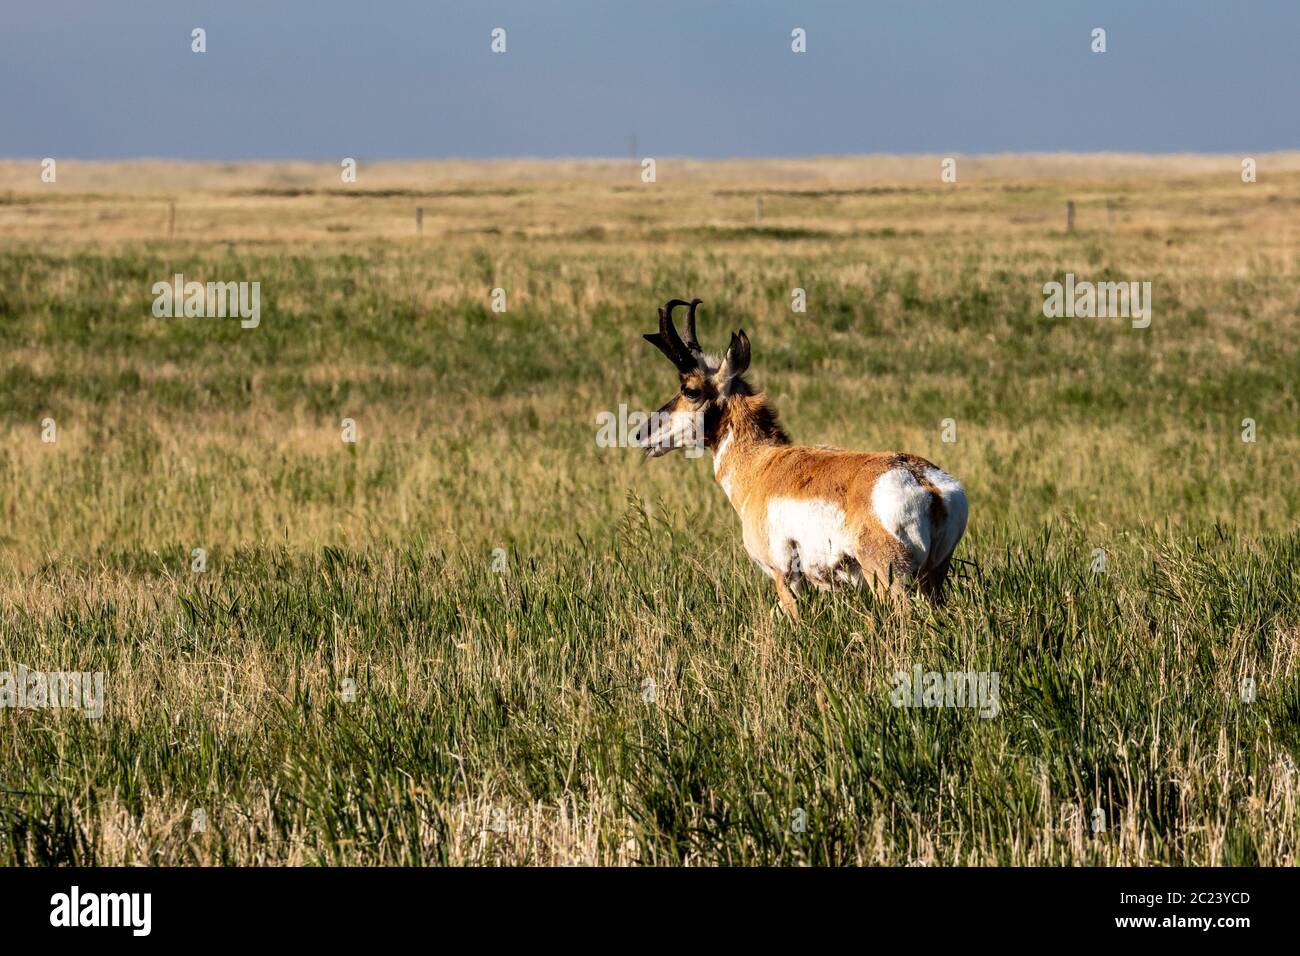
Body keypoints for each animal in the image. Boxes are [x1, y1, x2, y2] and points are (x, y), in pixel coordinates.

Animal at [634, 295, 972, 621]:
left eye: (690, 390)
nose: (641, 433)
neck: (762, 464)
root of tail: (926, 483)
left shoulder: (784, 576)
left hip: (889, 579)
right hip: (933, 580)